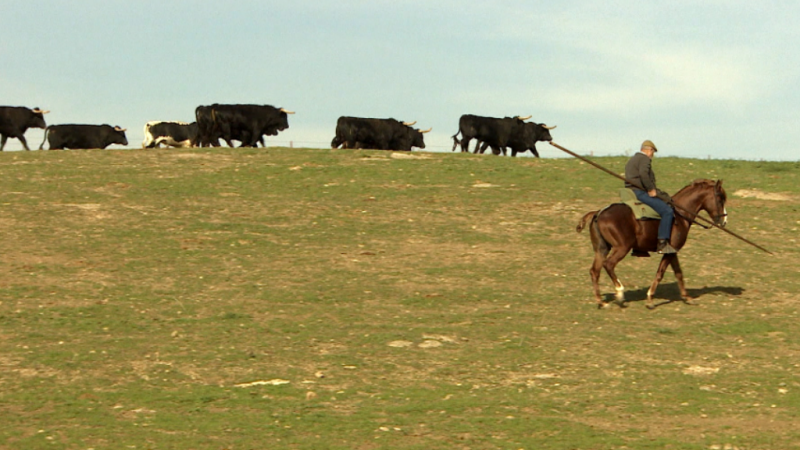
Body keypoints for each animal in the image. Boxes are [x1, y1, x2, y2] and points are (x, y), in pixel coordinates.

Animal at [580, 179, 728, 310]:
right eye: (720, 198)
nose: (724, 221)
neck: (680, 215)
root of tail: (598, 213)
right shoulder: (669, 252)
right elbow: (660, 273)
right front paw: (650, 299)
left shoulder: (672, 251)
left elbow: (678, 273)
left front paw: (687, 297)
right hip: (621, 248)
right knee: (608, 264)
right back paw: (620, 293)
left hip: (602, 249)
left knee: (595, 271)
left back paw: (602, 302)